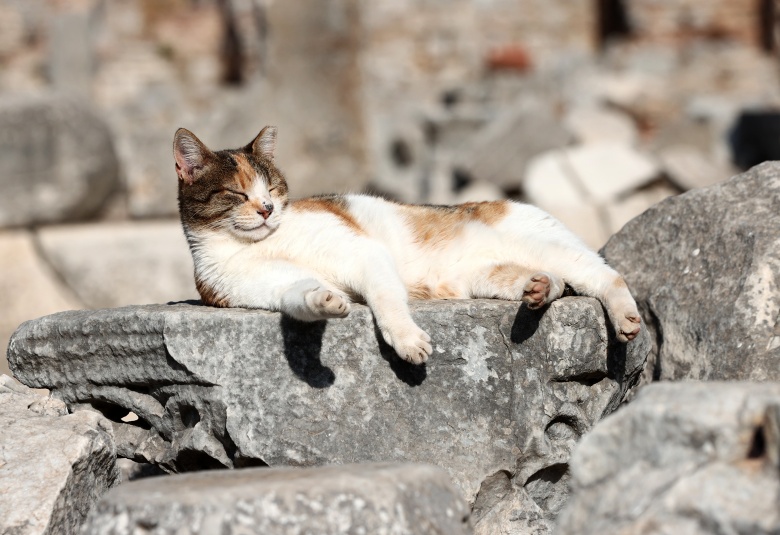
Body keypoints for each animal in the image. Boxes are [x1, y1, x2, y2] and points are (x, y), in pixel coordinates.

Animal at [175, 127, 640, 366]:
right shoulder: (269, 286)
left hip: (547, 246)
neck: (256, 245)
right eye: (237, 193)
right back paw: (539, 289)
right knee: (555, 282)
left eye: (271, 188)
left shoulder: (364, 254)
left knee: (606, 274)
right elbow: (301, 296)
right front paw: (327, 301)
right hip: (486, 276)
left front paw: (406, 340)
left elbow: (386, 300)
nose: (268, 209)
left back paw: (625, 317)